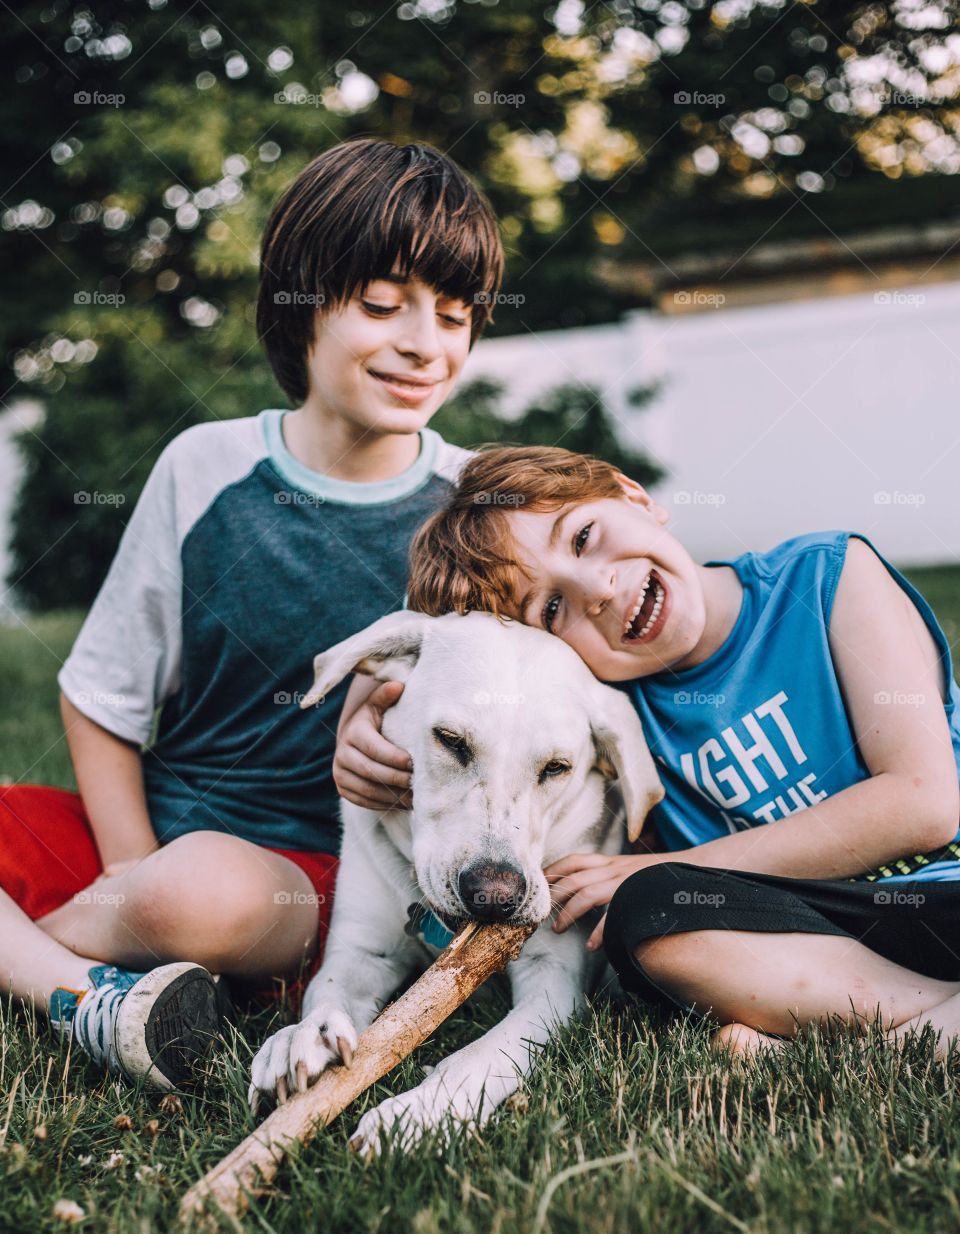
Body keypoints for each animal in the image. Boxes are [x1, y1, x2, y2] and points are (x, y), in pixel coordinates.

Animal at [246, 609, 661, 1155]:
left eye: (556, 768)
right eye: (450, 740)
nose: (495, 896)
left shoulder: (555, 982)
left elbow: (484, 1053)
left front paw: (420, 1114)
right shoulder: (362, 950)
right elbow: (328, 989)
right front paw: (304, 1035)